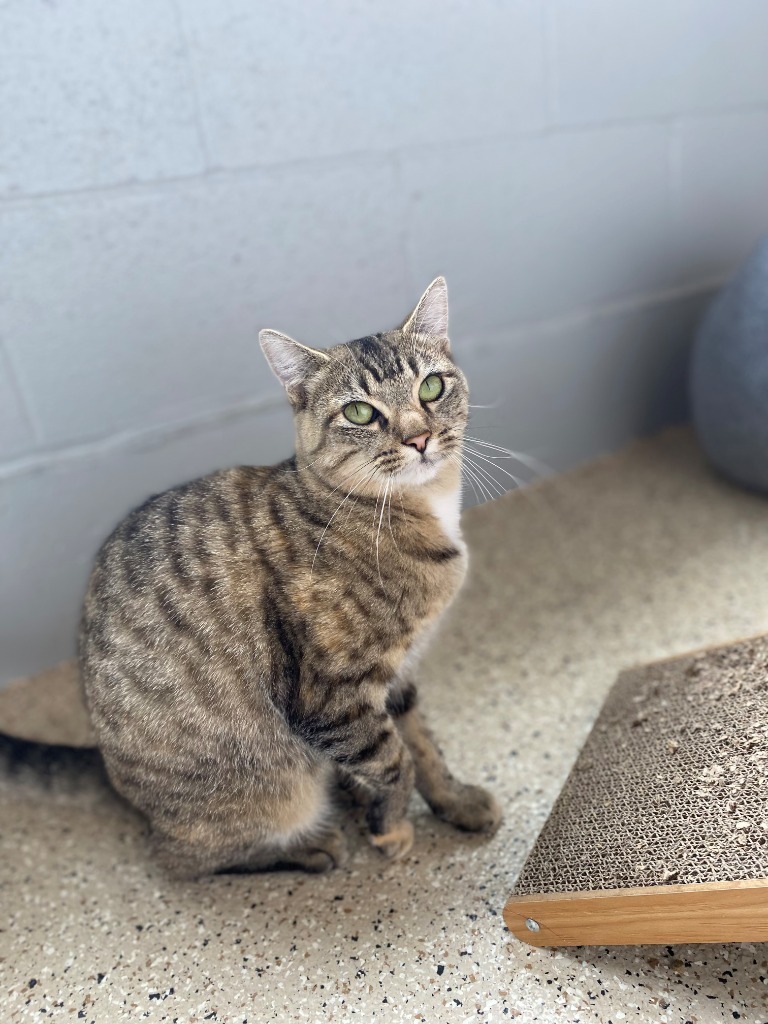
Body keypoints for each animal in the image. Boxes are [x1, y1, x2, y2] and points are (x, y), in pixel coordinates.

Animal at [78, 276, 501, 876]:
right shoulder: (330, 697)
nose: (419, 438)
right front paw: (392, 827)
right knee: (183, 858)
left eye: (432, 386)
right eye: (360, 413)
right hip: (265, 792)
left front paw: (455, 800)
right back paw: (311, 845)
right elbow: (395, 760)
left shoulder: (399, 676)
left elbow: (423, 745)